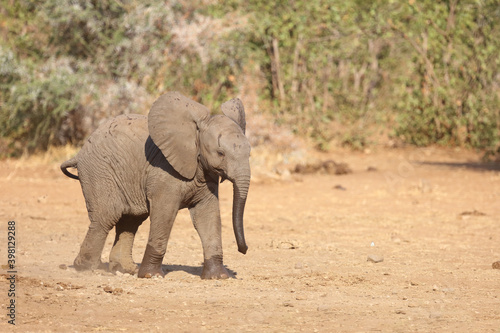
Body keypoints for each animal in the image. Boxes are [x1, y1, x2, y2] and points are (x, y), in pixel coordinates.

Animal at [61, 91, 250, 278]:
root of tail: (79, 153)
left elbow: (208, 215)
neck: (194, 131)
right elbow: (165, 213)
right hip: (99, 171)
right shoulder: (164, 171)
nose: (244, 250)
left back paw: (124, 269)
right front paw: (151, 275)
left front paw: (218, 277)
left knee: (130, 220)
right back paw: (87, 268)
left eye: (249, 151)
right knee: (106, 216)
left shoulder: (207, 174)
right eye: (220, 153)